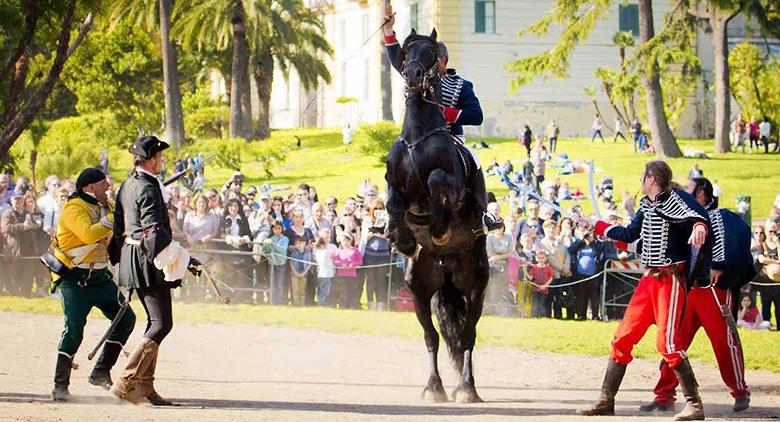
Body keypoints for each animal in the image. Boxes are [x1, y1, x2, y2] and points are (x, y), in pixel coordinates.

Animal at [384, 28, 488, 404]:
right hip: (419, 289)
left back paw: (468, 388)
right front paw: (402, 237)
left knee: (468, 335)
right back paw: (434, 386)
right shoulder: (394, 184)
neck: (418, 137)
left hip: (475, 286)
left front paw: (440, 226)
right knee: (432, 337)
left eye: (430, 53)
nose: (413, 75)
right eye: (406, 51)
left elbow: (437, 181)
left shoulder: (452, 186)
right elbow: (394, 203)